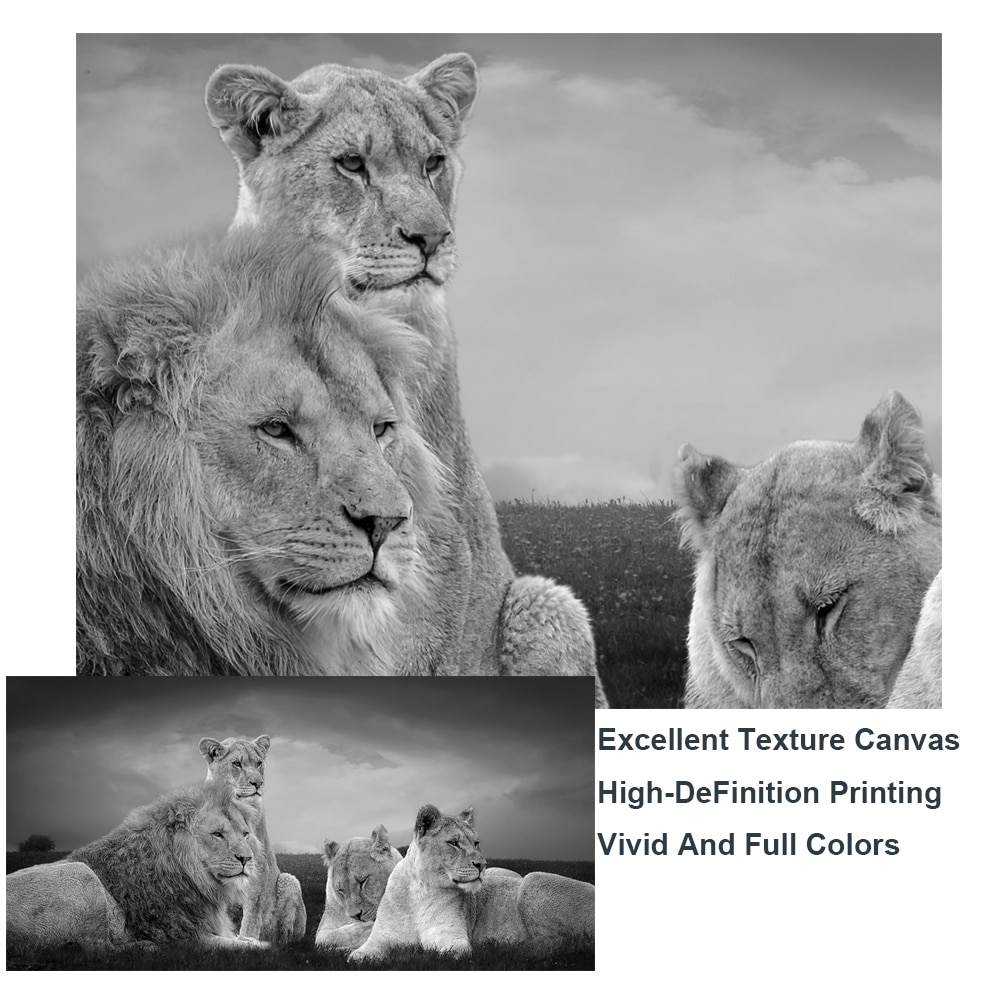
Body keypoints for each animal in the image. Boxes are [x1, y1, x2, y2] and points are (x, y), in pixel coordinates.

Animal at [6, 782, 267, 948]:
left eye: (245, 834)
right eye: (217, 834)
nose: (247, 859)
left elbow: (248, 941)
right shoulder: (183, 936)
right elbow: (251, 947)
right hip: (81, 874)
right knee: (96, 948)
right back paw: (144, 947)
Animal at [201, 734, 306, 942]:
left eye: (259, 763)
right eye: (236, 763)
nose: (258, 783)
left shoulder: (258, 867)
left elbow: (251, 917)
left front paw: (247, 941)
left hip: (289, 881)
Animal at [349, 805, 595, 961]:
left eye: (476, 843)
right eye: (454, 843)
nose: (482, 865)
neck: (420, 889)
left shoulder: (452, 938)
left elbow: (434, 952)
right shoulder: (382, 937)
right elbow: (358, 956)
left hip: (533, 879)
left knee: (566, 943)